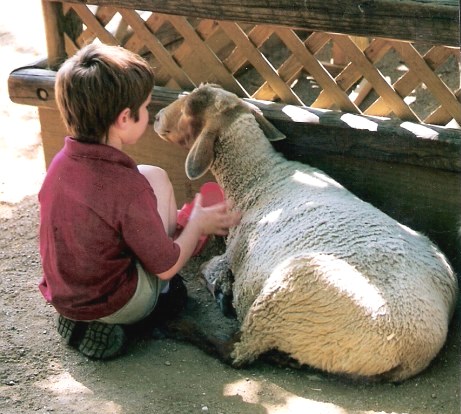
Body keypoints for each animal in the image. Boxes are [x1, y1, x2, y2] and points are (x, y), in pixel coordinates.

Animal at [154, 84, 456, 382]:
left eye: (188, 110)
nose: (156, 117)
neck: (259, 178)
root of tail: (413, 353)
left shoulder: (232, 252)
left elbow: (206, 268)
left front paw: (221, 289)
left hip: (288, 295)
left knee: (238, 352)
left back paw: (179, 325)